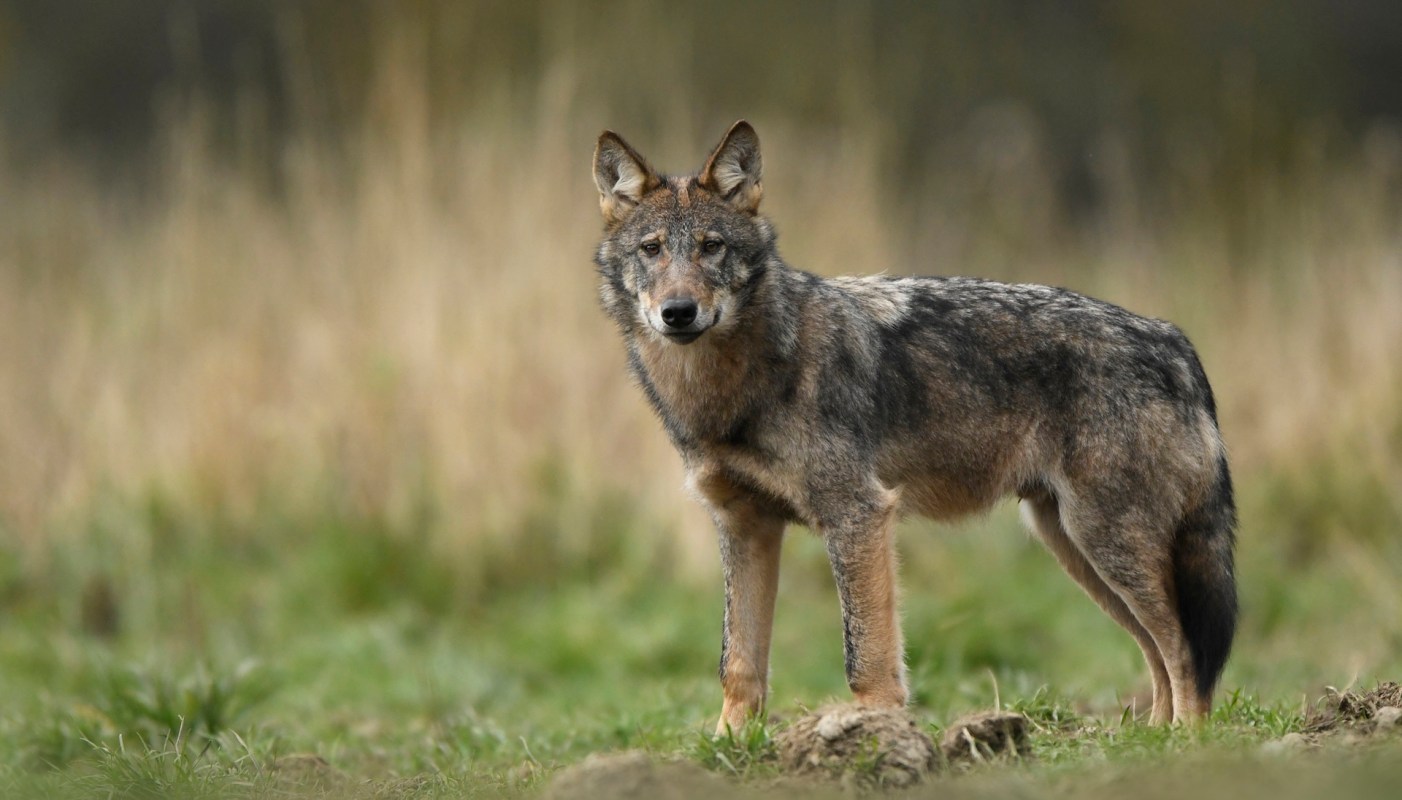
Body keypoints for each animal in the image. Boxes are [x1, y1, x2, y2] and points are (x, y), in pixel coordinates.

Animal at [591, 120, 1237, 731]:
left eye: (711, 247)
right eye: (652, 249)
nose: (678, 312)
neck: (736, 386)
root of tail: (1174, 342)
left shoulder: (859, 514)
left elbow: (864, 650)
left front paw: (873, 725)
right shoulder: (744, 526)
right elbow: (738, 659)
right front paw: (730, 741)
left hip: (1105, 542)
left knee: (1185, 649)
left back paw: (1185, 741)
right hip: (1076, 546)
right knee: (1157, 650)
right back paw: (1149, 737)